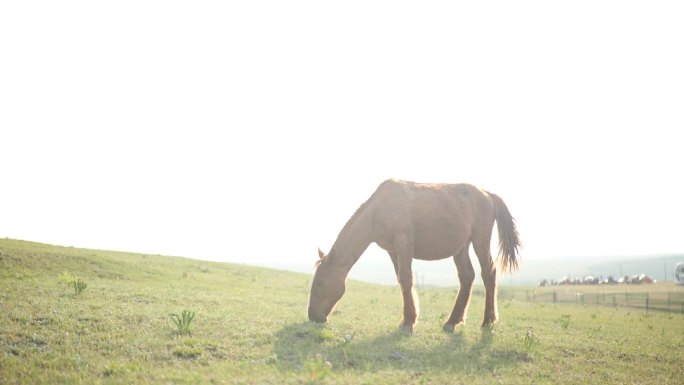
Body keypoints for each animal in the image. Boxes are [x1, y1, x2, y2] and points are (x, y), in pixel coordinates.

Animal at [308, 178, 520, 332]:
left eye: (320, 283)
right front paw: (409, 318)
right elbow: (401, 280)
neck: (379, 211)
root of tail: (488, 195)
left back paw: (488, 320)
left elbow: (406, 278)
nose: (312, 317)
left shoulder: (404, 244)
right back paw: (452, 321)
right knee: (467, 277)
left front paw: (408, 322)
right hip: (462, 248)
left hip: (479, 242)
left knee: (488, 273)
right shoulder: (393, 251)